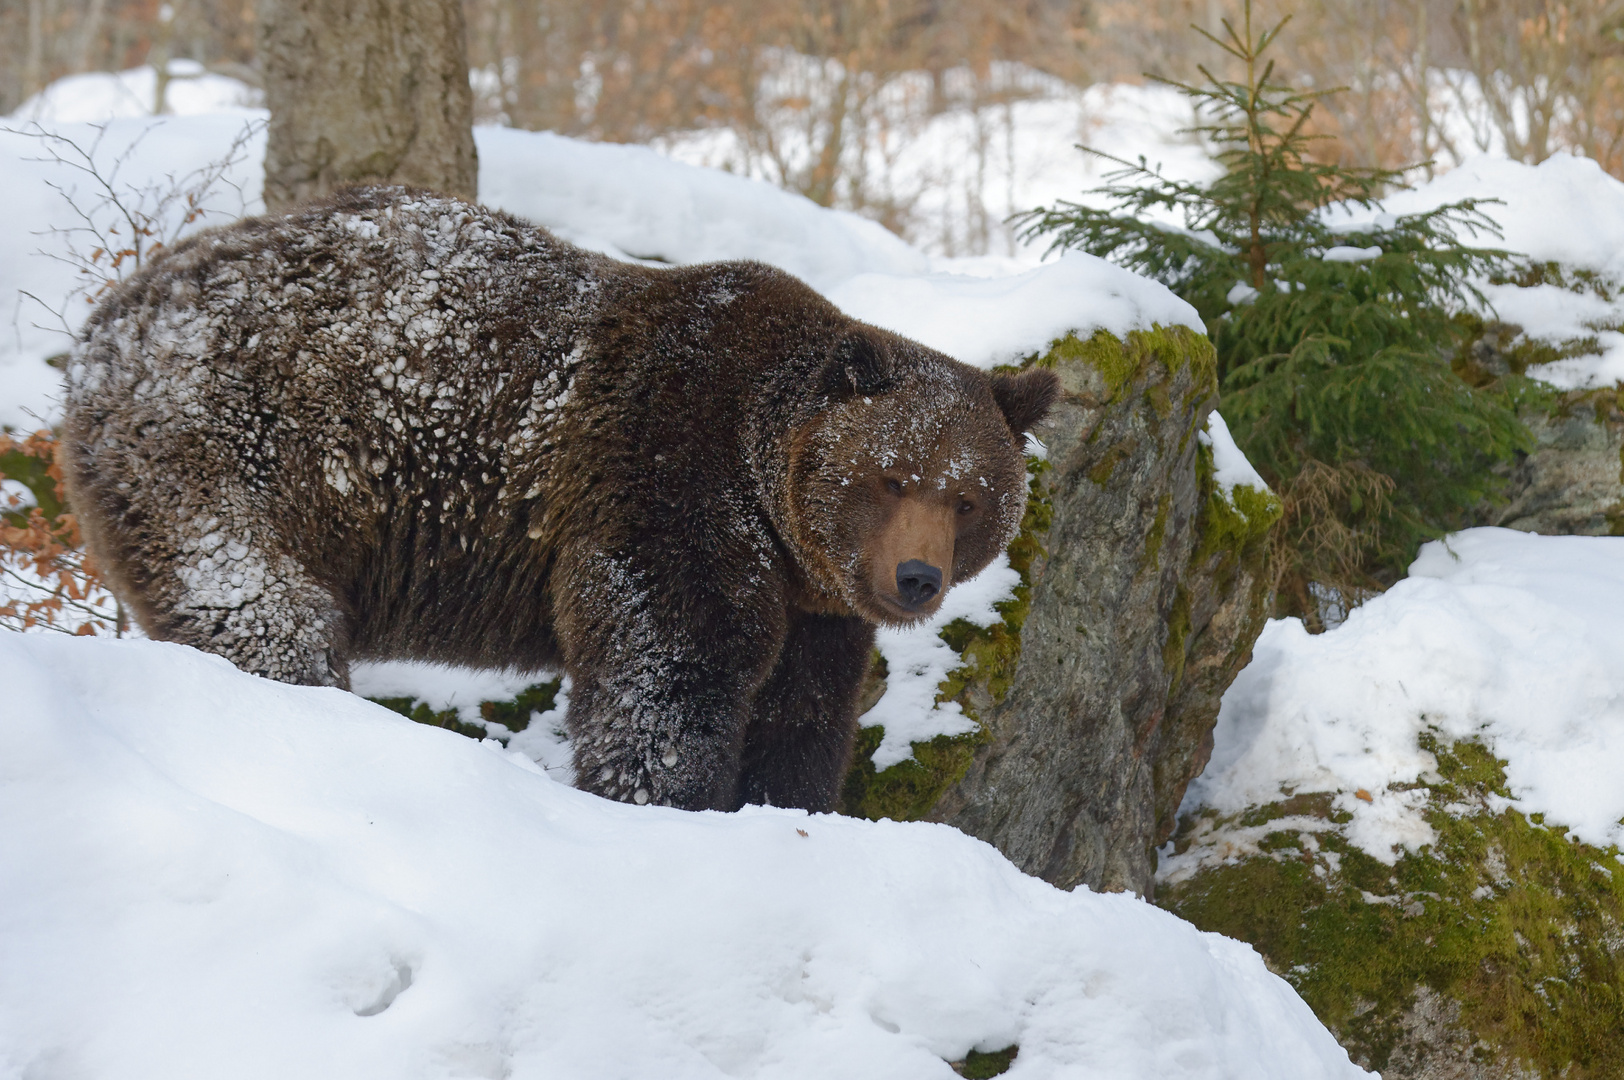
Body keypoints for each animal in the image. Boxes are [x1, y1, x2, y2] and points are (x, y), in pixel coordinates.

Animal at [63, 185, 1058, 808]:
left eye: (969, 498)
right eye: (892, 477)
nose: (916, 577)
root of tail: (110, 318)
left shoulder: (815, 604)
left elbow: (802, 716)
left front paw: (788, 806)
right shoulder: (665, 481)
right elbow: (668, 672)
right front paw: (665, 796)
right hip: (233, 450)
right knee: (260, 609)